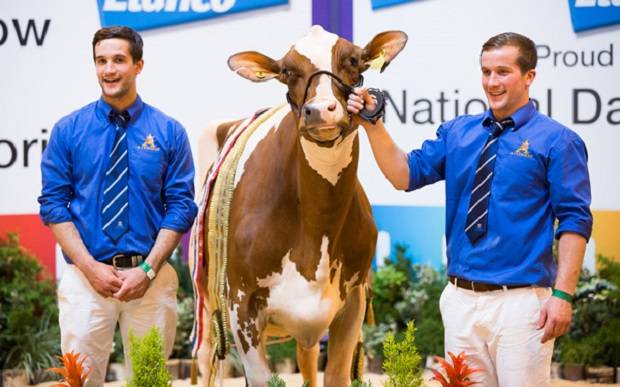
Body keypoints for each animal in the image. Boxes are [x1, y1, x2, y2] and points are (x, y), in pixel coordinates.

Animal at [193, 25, 406, 386]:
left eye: (352, 60)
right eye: (287, 71)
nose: (320, 110)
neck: (317, 225)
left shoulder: (353, 302)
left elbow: (335, 375)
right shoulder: (241, 305)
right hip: (207, 302)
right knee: (205, 356)